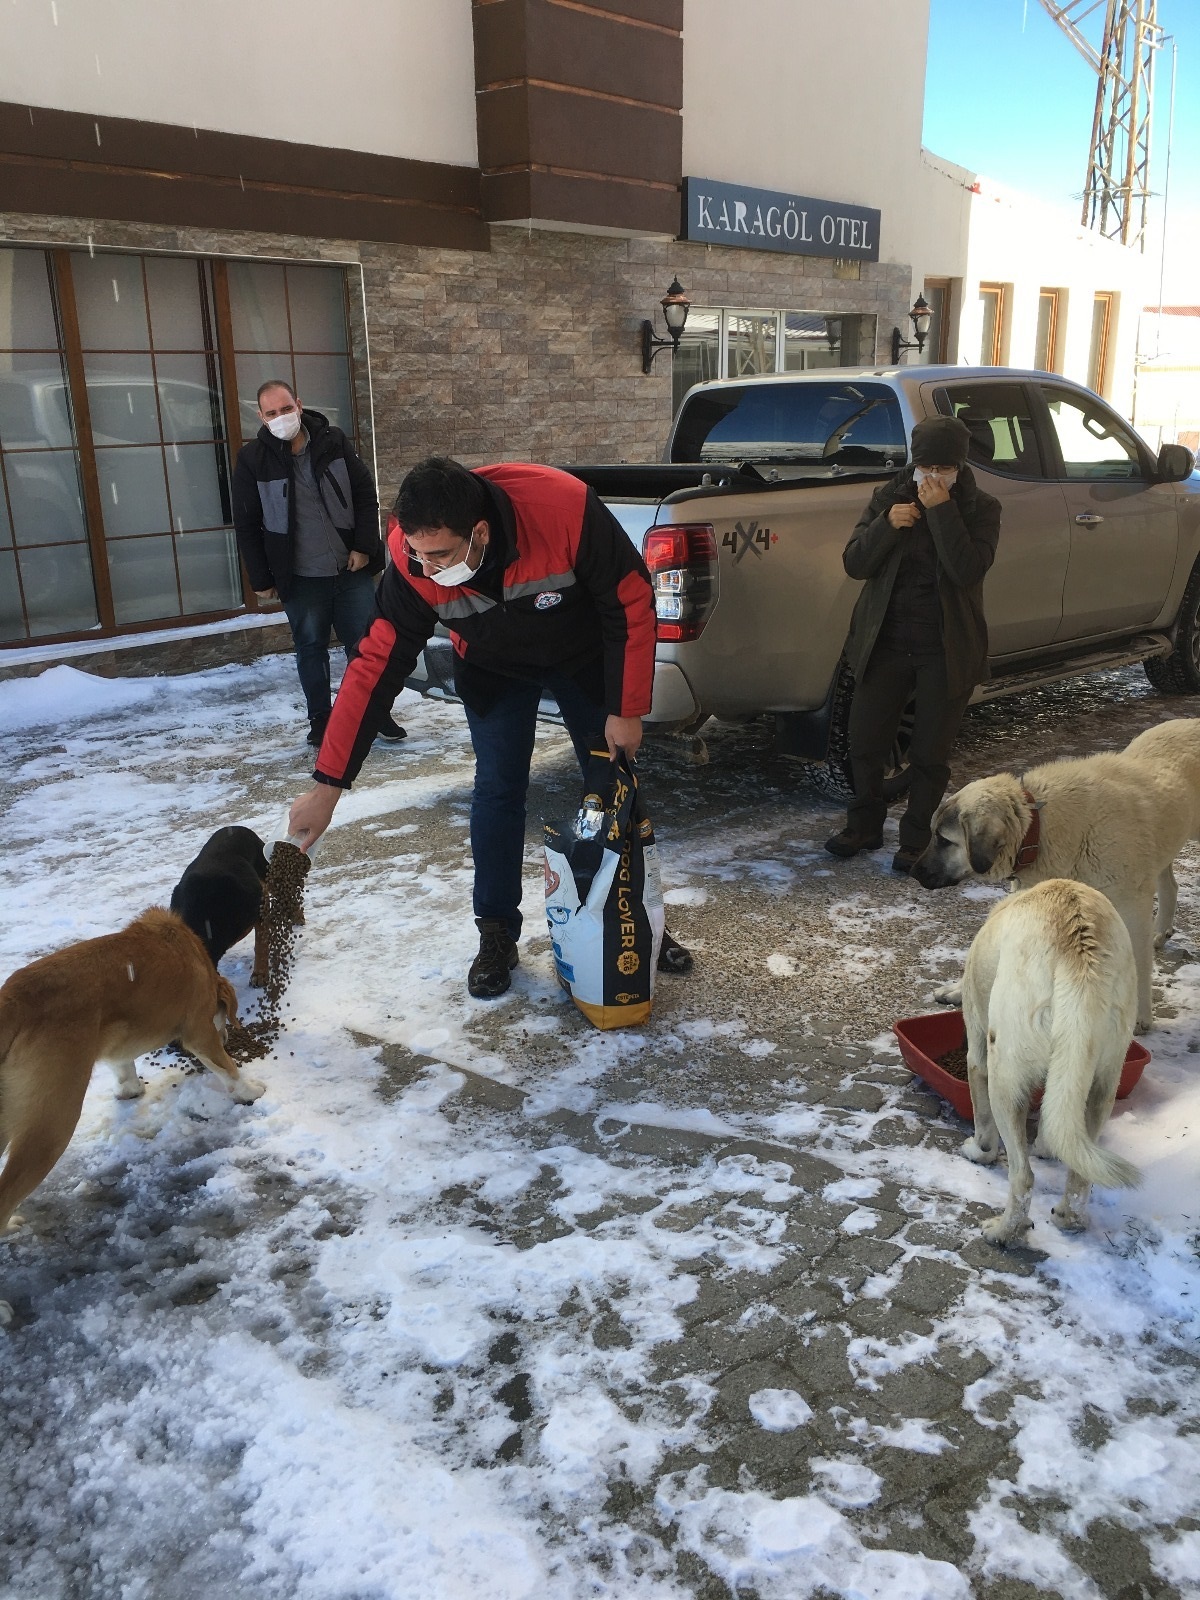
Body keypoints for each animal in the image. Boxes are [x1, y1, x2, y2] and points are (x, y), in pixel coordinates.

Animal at [0, 908, 265, 1241]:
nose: (229, 1036)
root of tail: (11, 1002)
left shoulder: (120, 1044)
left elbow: (124, 1066)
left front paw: (130, 1089)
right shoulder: (199, 1031)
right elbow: (227, 1067)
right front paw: (248, 1091)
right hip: (52, 1123)